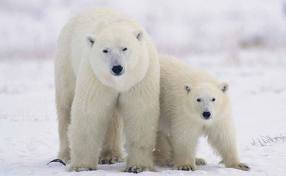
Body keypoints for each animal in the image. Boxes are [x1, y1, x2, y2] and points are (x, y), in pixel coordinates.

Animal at [54, 8, 160, 173]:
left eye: (125, 48)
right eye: (105, 50)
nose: (117, 68)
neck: (119, 82)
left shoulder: (139, 78)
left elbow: (139, 113)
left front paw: (137, 166)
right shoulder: (96, 77)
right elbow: (90, 111)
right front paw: (82, 166)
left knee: (113, 117)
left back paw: (111, 156)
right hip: (66, 63)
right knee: (65, 106)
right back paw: (65, 156)